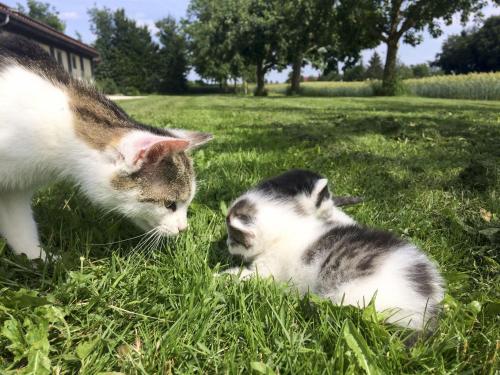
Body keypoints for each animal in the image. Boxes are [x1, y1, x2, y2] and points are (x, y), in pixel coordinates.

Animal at [225, 170, 444, 328]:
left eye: (233, 237)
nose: (226, 244)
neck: (287, 228)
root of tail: (425, 293)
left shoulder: (271, 270)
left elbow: (253, 276)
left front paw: (224, 276)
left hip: (356, 295)